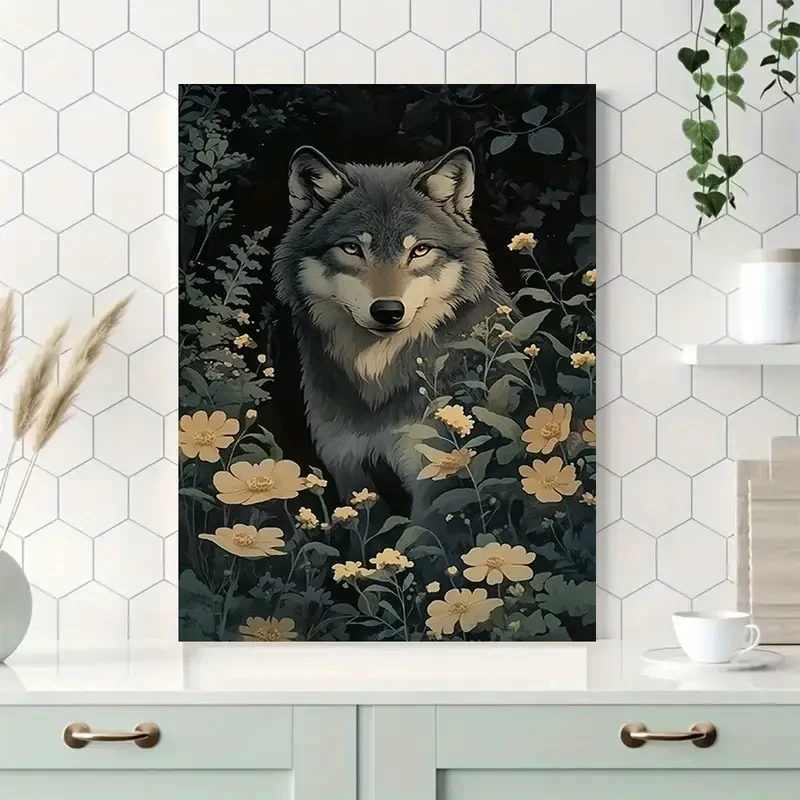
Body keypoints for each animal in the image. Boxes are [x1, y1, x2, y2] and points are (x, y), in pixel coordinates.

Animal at [272, 146, 512, 519]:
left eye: (419, 250)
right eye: (352, 248)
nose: (387, 311)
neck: (376, 379)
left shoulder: (434, 480)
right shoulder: (349, 470)